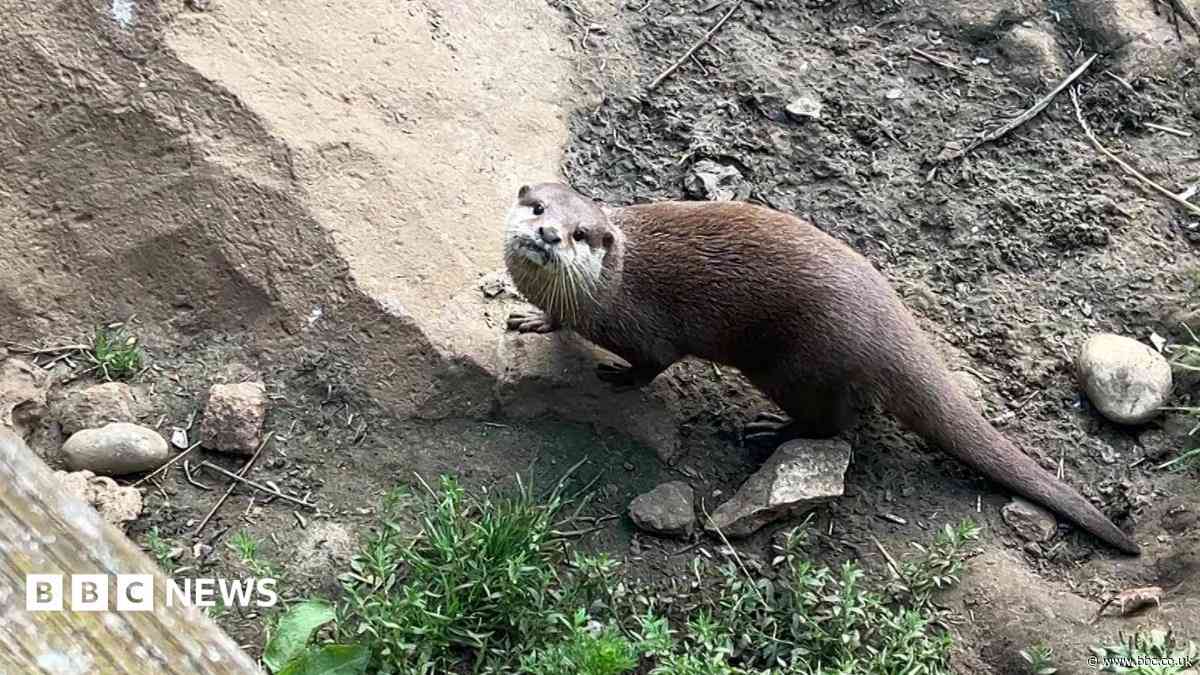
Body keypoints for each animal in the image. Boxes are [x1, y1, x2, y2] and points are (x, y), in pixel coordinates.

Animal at [502, 181, 1139, 555]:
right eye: (537, 207)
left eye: (581, 233)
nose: (548, 234)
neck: (604, 289)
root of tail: (890, 323)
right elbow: (549, 321)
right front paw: (532, 322)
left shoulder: (645, 327)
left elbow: (653, 365)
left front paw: (618, 377)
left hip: (796, 365)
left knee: (836, 427)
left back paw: (771, 431)